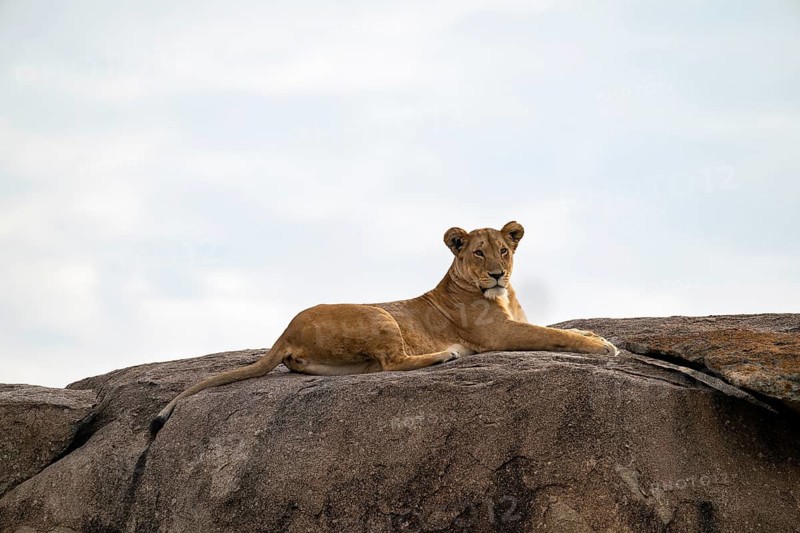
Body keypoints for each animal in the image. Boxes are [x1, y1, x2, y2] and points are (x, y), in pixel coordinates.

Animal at [150, 221, 618, 435]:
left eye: (504, 250)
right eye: (479, 253)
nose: (498, 273)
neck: (501, 294)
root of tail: (285, 332)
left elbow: (557, 328)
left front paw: (595, 336)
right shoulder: (498, 336)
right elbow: (552, 334)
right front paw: (603, 347)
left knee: (379, 367)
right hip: (380, 314)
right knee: (394, 363)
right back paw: (447, 354)